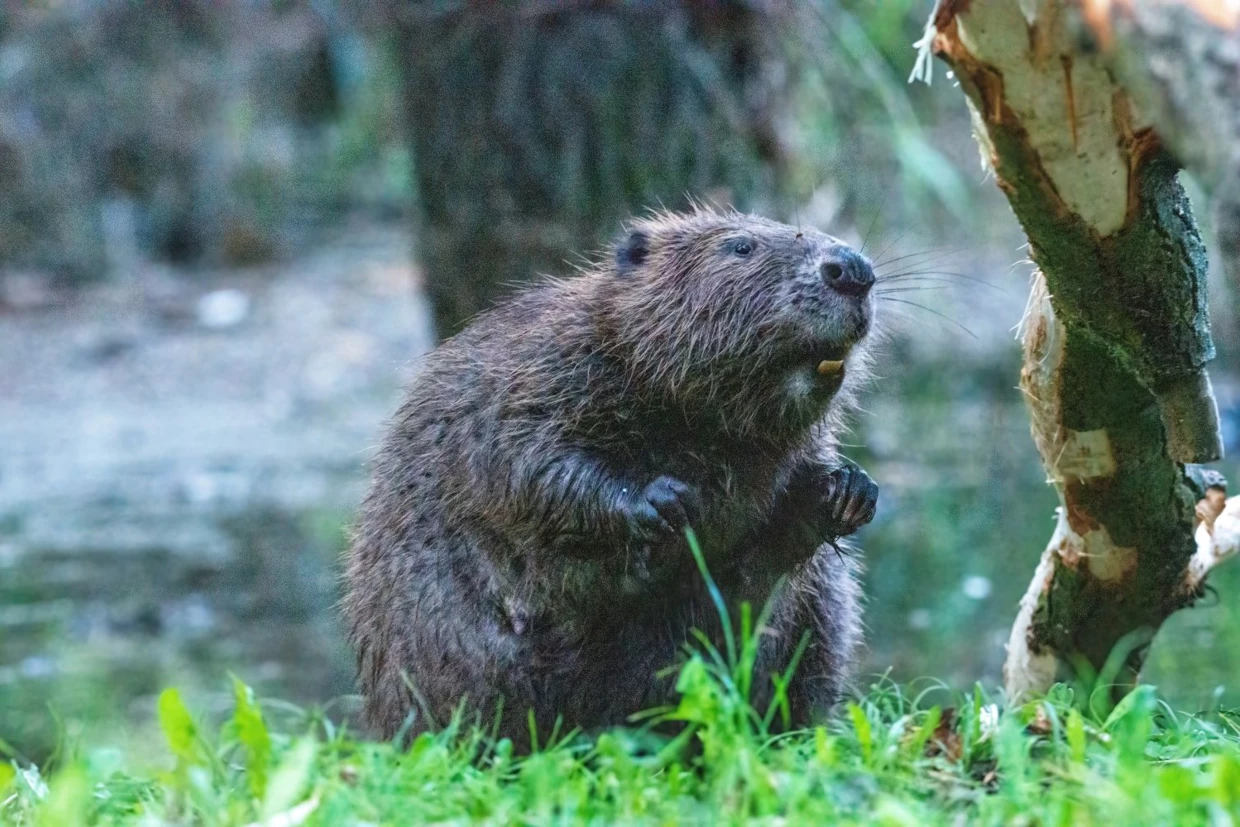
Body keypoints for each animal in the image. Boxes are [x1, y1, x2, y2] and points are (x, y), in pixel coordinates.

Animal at [344, 208, 877, 743]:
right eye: (741, 247)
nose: (853, 270)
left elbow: (758, 562)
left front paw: (848, 490)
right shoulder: (541, 368)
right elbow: (525, 458)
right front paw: (661, 501)